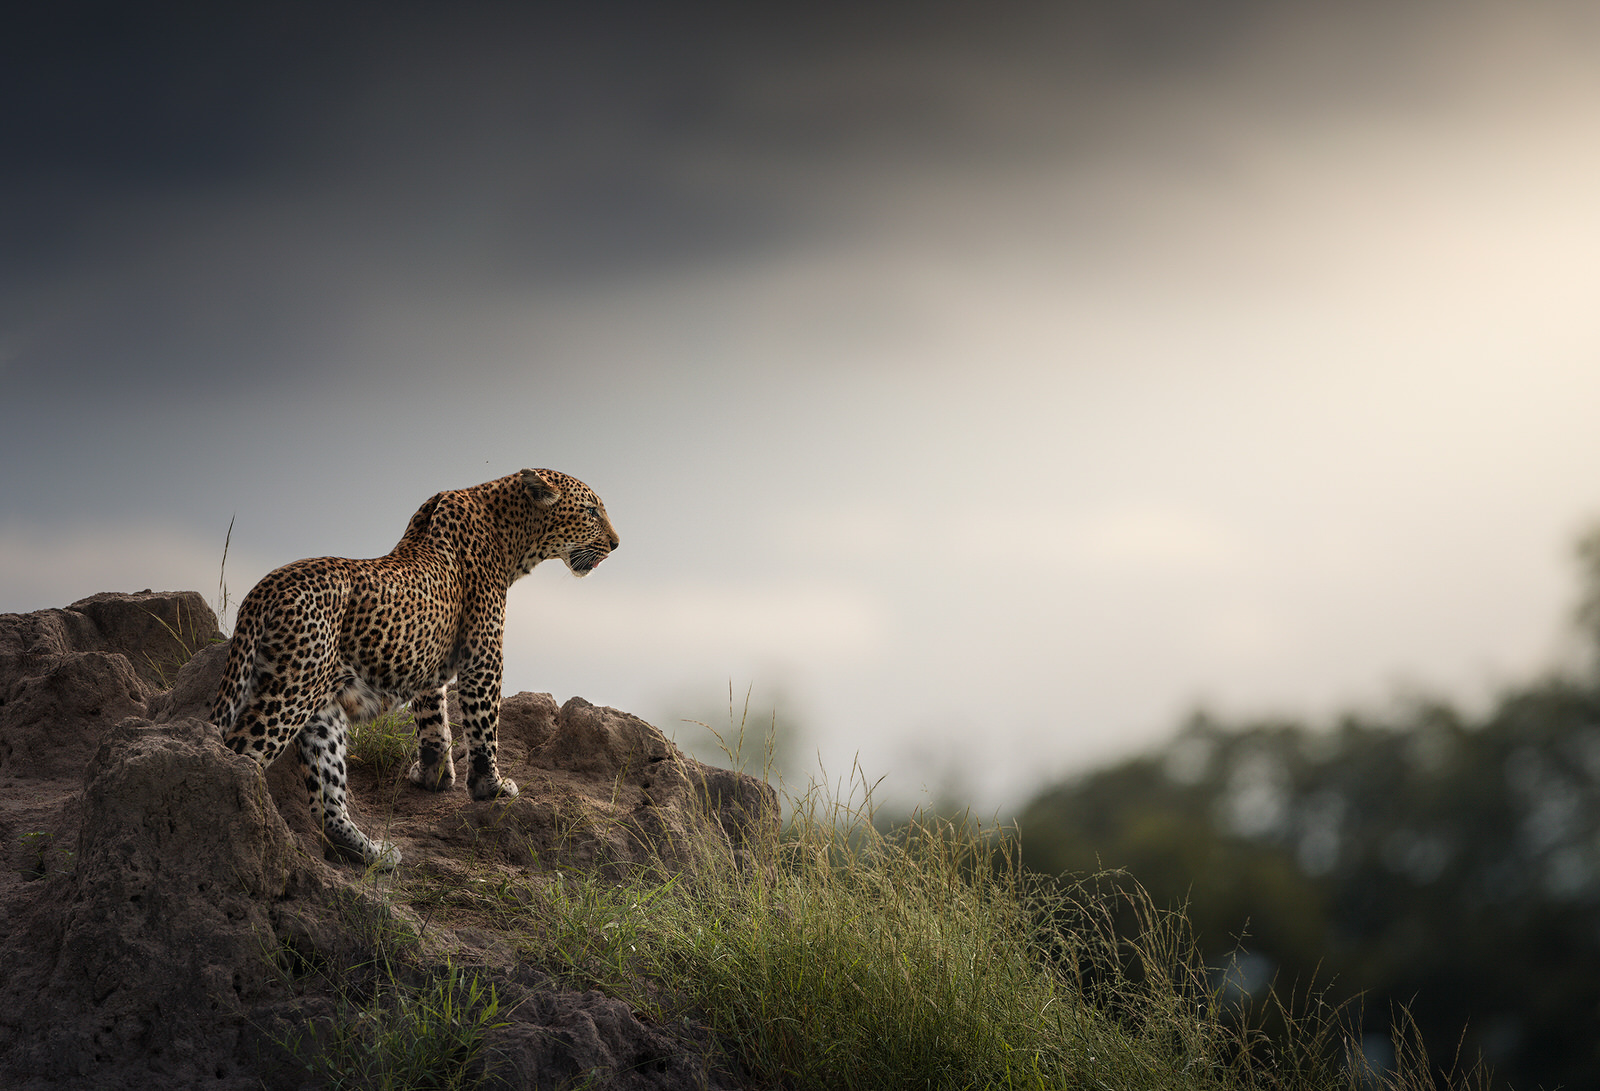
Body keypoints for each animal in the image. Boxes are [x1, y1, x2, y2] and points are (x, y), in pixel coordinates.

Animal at [208, 467, 617, 863]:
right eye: (591, 511)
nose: (616, 543)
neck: (511, 533)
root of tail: (264, 589)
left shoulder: (429, 663)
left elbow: (434, 720)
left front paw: (433, 775)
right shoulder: (484, 652)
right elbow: (483, 724)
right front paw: (491, 787)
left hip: (322, 709)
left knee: (326, 798)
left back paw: (370, 853)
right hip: (292, 691)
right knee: (239, 750)